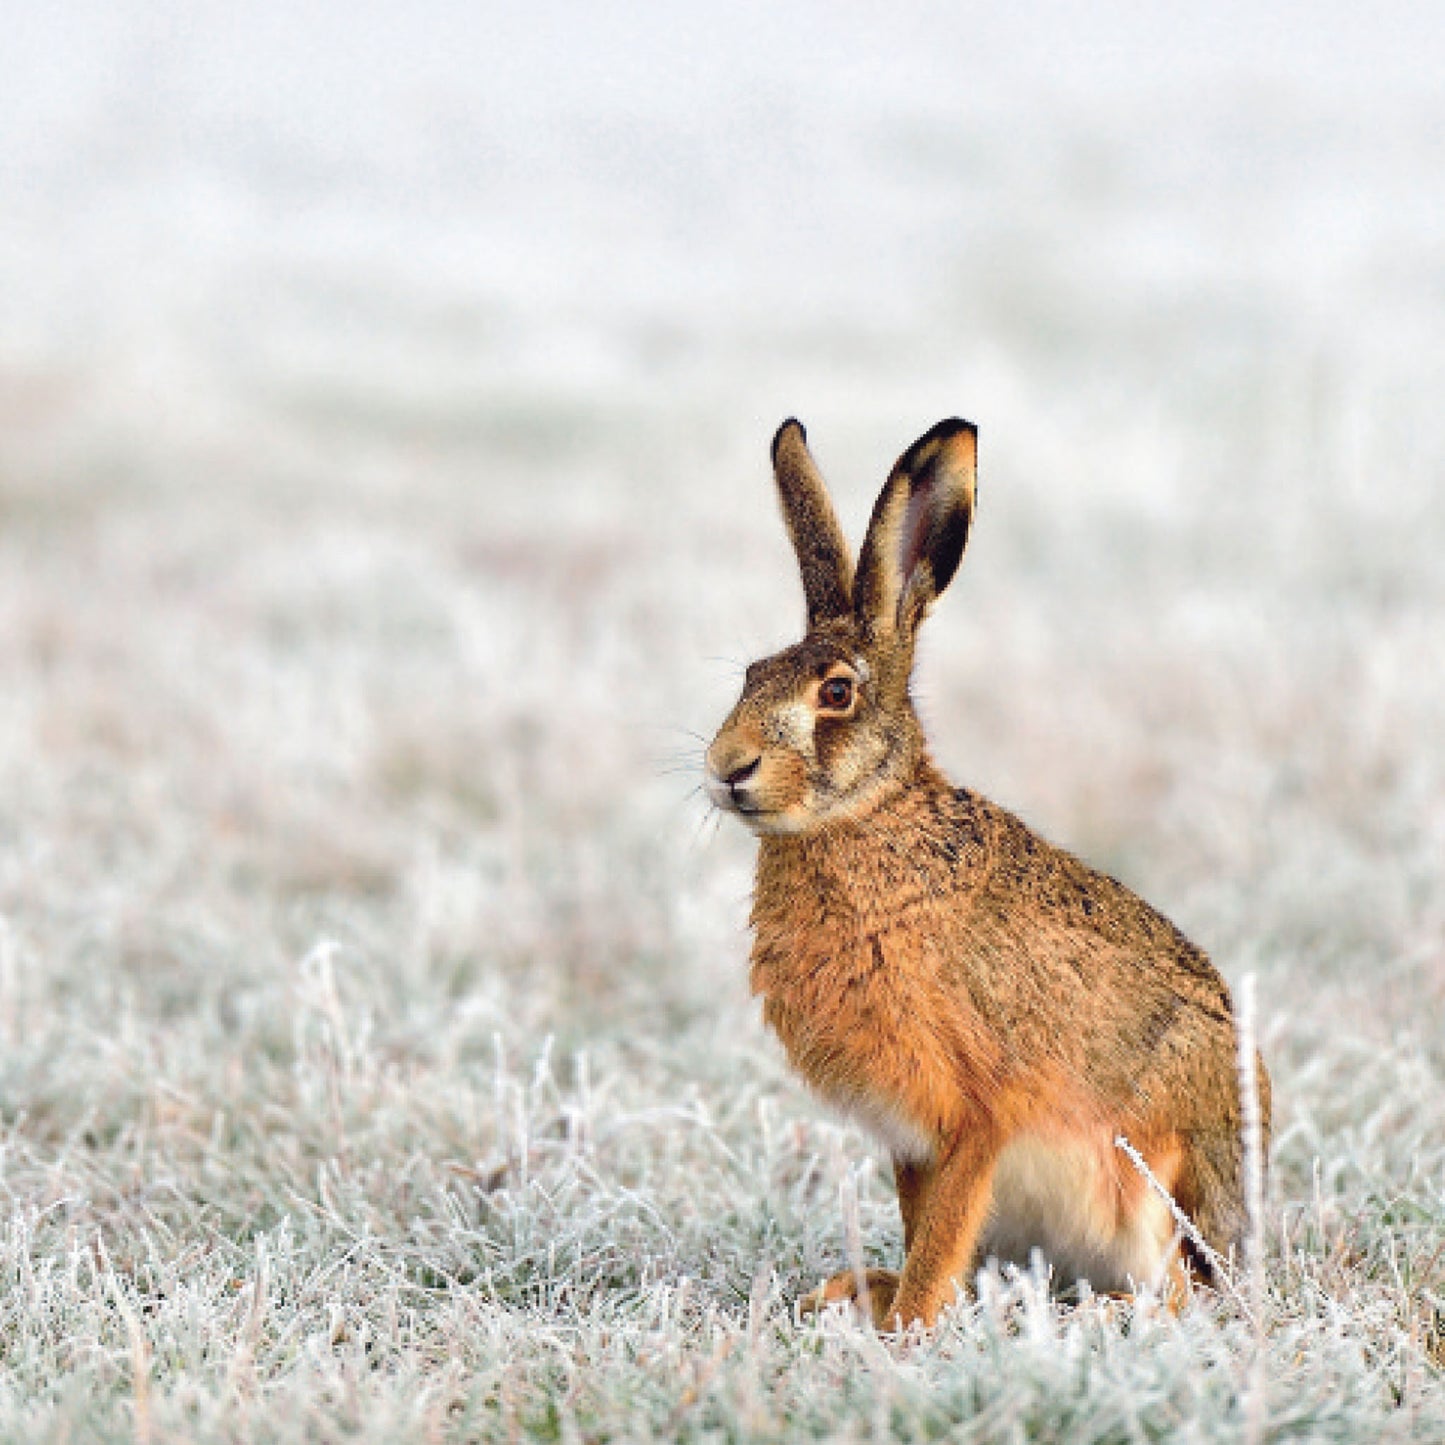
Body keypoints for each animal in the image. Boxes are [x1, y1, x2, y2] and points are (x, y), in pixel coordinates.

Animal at [704, 418, 1270, 1330]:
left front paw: (907, 1326)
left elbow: (944, 1227)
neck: (863, 819)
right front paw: (889, 1303)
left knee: (1181, 1293)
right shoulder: (906, 1138)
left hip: (1153, 1171)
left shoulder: (976, 1115)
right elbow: (921, 1223)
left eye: (836, 693)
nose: (727, 768)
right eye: (753, 675)